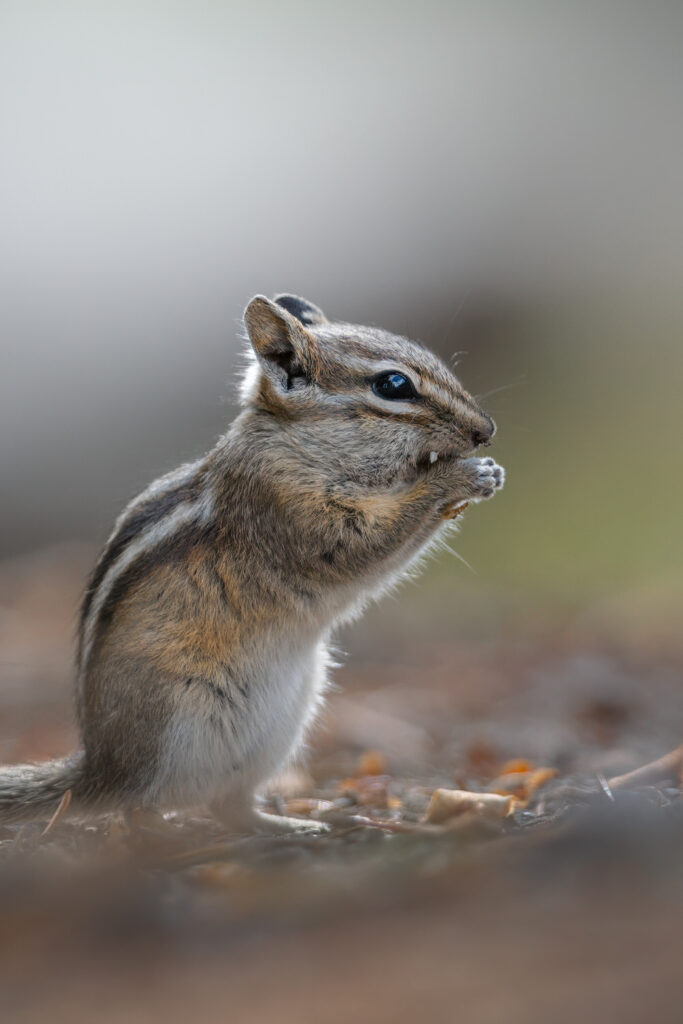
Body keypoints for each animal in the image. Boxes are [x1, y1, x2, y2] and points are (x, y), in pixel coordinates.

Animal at [0, 294, 505, 833]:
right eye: (394, 385)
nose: (486, 432)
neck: (296, 443)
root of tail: (99, 768)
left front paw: (487, 473)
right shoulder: (289, 508)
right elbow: (365, 546)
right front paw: (458, 478)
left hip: (281, 728)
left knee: (231, 805)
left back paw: (291, 826)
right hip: (176, 723)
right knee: (138, 804)